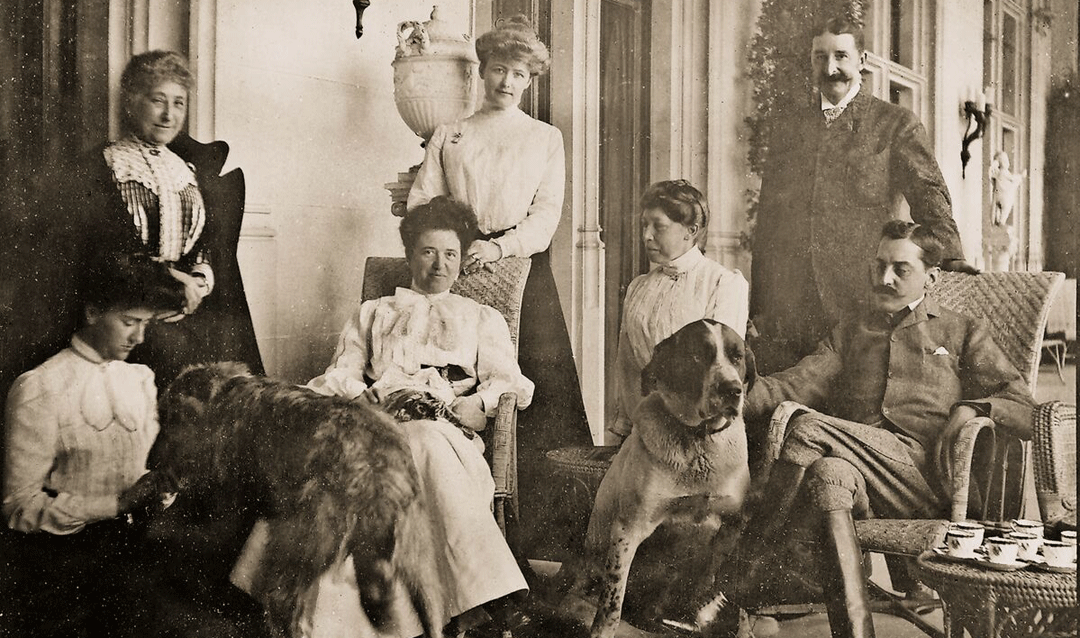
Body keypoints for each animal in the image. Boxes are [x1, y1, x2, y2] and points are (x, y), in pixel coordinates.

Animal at [145, 364, 444, 638]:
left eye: (169, 422)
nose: (151, 464)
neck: (226, 394)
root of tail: (377, 472)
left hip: (298, 550)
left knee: (285, 609)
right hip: (418, 564)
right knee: (430, 616)